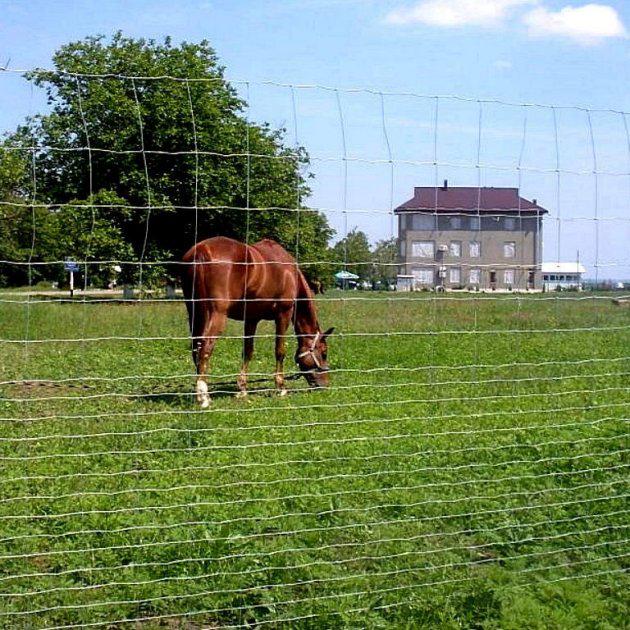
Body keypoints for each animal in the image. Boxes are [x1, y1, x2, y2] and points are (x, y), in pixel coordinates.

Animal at [180, 237, 334, 410]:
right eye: (324, 353)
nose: (325, 385)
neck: (289, 273)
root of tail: (202, 251)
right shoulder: (283, 315)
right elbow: (280, 351)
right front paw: (281, 387)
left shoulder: (251, 319)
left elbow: (247, 351)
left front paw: (242, 389)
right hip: (216, 314)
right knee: (205, 348)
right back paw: (204, 397)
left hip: (194, 313)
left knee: (196, 348)